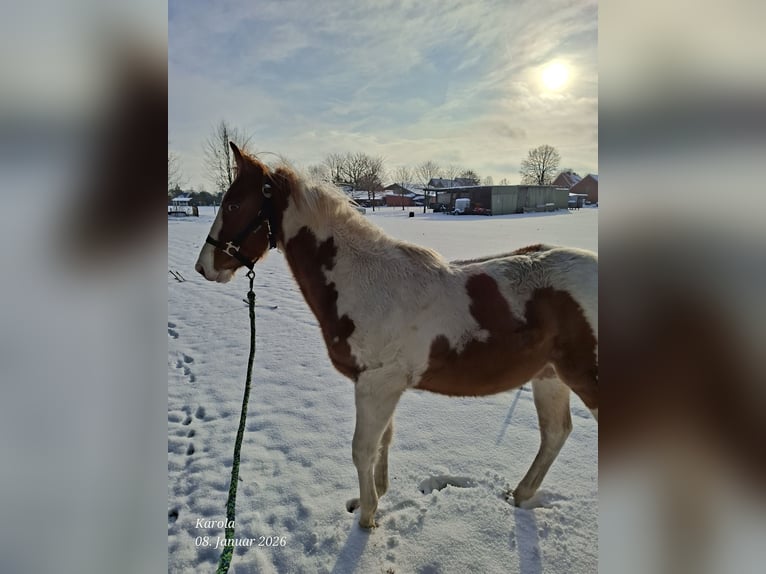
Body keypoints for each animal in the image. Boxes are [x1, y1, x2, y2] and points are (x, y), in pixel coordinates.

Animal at [195, 142, 598, 529]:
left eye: (233, 203)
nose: (203, 267)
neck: (364, 283)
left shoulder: (376, 384)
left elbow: (362, 449)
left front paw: (367, 517)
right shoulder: (384, 387)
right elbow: (383, 441)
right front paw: (374, 497)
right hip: (549, 376)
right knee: (555, 433)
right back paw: (520, 495)